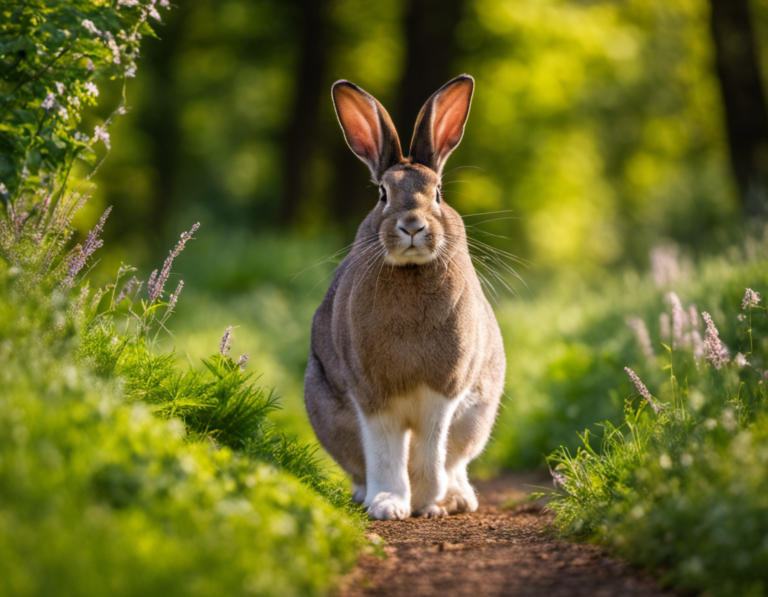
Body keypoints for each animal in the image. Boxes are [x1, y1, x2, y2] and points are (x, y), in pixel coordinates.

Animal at [304, 74, 508, 520]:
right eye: (382, 194)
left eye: (438, 192)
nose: (412, 226)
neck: (411, 271)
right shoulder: (372, 394)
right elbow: (385, 451)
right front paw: (390, 505)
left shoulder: (443, 391)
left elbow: (429, 450)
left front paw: (427, 505)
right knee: (361, 468)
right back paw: (369, 497)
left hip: (478, 418)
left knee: (454, 462)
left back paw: (456, 498)